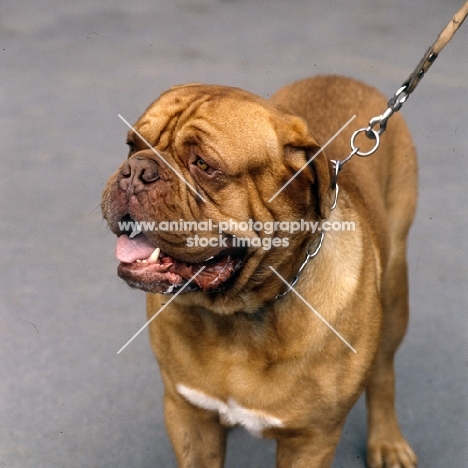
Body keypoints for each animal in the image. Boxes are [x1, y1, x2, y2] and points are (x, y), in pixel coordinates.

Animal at [101, 75, 416, 466]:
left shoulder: (311, 438)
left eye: (203, 164)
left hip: (395, 288)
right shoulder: (188, 415)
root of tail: (343, 78)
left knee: (384, 373)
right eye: (132, 147)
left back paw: (388, 442)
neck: (235, 317)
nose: (135, 172)